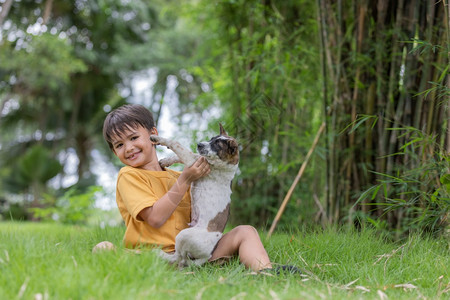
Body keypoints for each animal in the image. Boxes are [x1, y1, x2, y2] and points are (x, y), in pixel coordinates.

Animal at [149, 123, 239, 268]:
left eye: (217, 145)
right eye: (211, 139)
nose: (199, 144)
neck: (226, 165)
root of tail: (208, 256)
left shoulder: (192, 159)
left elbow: (176, 144)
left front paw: (157, 138)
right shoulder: (197, 158)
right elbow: (182, 154)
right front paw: (165, 161)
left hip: (183, 235)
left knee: (179, 258)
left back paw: (160, 255)